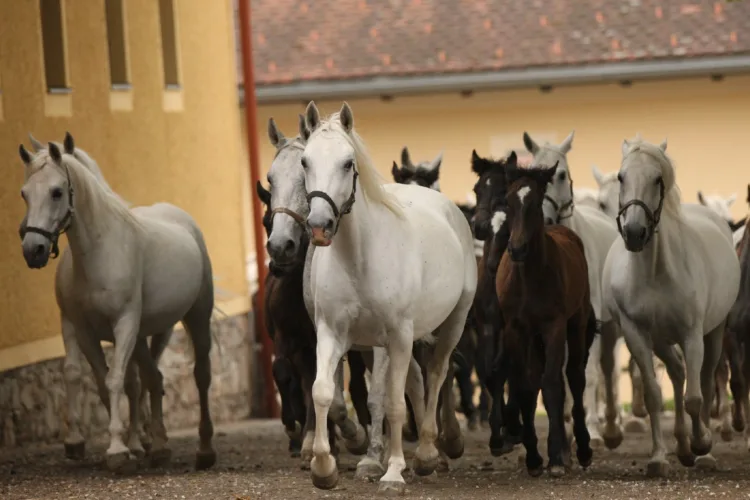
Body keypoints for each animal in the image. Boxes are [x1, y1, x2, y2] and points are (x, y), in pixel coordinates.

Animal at [18, 134, 217, 472]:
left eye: (57, 192)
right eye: (24, 194)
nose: (33, 249)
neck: (100, 251)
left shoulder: (124, 324)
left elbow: (115, 381)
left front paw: (118, 449)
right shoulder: (81, 328)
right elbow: (93, 379)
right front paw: (102, 443)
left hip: (196, 316)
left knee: (200, 375)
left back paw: (203, 450)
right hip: (145, 334)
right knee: (153, 378)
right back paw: (158, 445)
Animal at [300, 101, 476, 492]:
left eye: (348, 162)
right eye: (305, 161)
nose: (319, 226)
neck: (360, 258)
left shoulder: (397, 335)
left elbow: (394, 403)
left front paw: (393, 471)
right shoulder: (331, 333)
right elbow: (322, 391)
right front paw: (323, 467)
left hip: (452, 323)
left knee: (436, 374)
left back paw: (425, 453)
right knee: (417, 380)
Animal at [496, 160, 596, 476]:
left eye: (536, 202)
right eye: (508, 201)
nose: (517, 249)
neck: (529, 278)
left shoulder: (554, 326)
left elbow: (552, 383)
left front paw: (554, 458)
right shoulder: (516, 329)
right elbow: (525, 385)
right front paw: (533, 456)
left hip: (575, 324)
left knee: (573, 377)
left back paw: (581, 449)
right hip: (536, 338)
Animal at [524, 132, 624, 450]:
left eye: (560, 174)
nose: (544, 219)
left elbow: (588, 373)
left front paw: (591, 429)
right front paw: (566, 426)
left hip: (610, 327)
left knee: (607, 369)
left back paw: (611, 428)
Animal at [604, 136, 740, 476]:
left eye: (657, 178)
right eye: (621, 177)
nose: (634, 233)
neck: (655, 274)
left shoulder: (692, 334)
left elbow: (695, 396)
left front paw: (702, 442)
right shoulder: (637, 335)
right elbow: (654, 394)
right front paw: (658, 458)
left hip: (713, 333)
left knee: (703, 379)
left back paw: (700, 450)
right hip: (661, 340)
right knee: (678, 372)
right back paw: (681, 445)